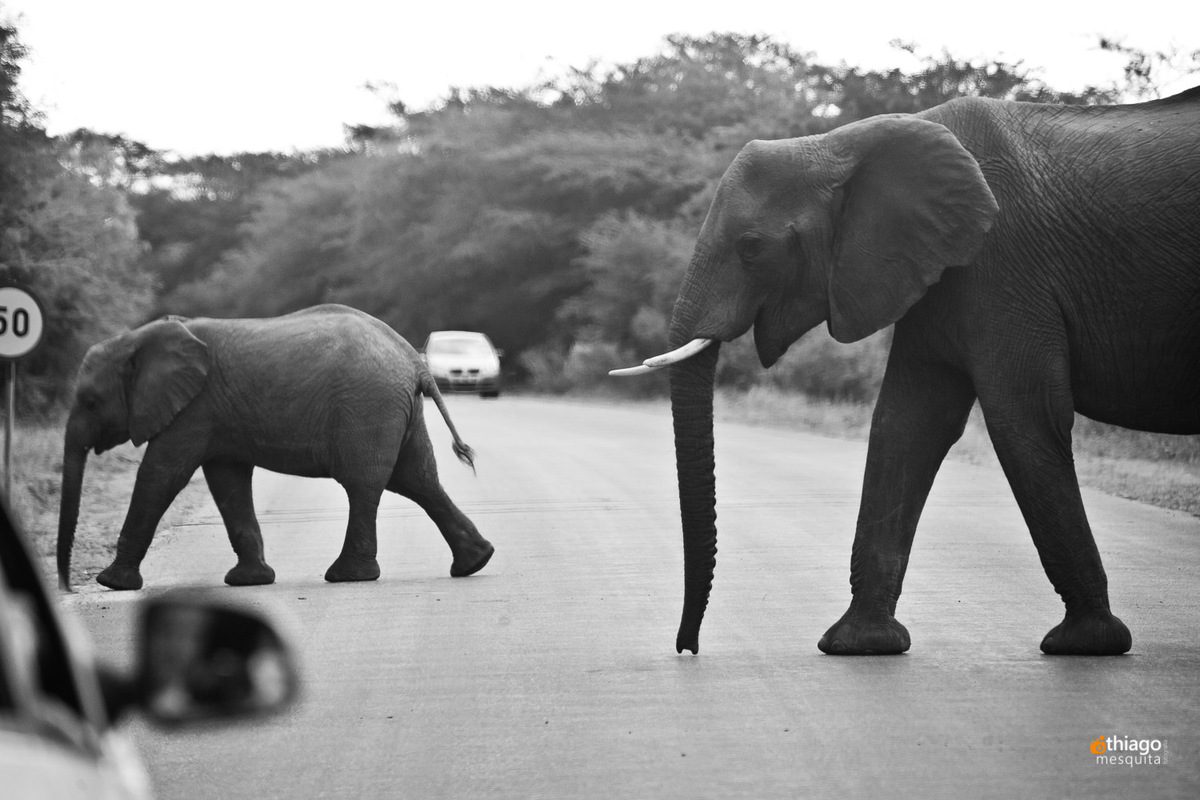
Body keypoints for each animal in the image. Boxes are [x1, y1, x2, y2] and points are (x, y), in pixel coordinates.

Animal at [57, 304, 494, 591]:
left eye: (91, 402)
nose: (67, 588)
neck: (139, 339)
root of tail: (413, 358)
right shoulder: (215, 414)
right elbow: (227, 482)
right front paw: (250, 582)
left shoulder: (193, 410)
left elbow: (161, 475)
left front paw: (112, 583)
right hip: (395, 408)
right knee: (418, 479)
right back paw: (475, 562)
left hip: (369, 404)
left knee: (366, 484)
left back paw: (347, 576)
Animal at [613, 86, 1200, 656]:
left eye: (751, 246)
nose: (687, 647)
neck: (842, 144)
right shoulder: (935, 267)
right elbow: (907, 422)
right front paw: (858, 645)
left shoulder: (1006, 266)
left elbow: (1024, 421)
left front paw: (1085, 643)